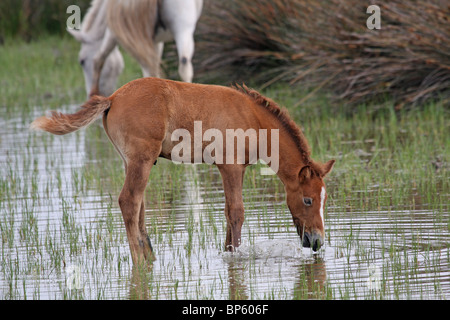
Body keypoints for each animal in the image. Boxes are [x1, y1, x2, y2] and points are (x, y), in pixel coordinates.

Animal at [67, 0, 203, 97]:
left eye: (82, 61)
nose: (89, 94)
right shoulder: (156, 41)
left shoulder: (113, 32)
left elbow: (98, 60)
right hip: (182, 28)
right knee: (183, 65)